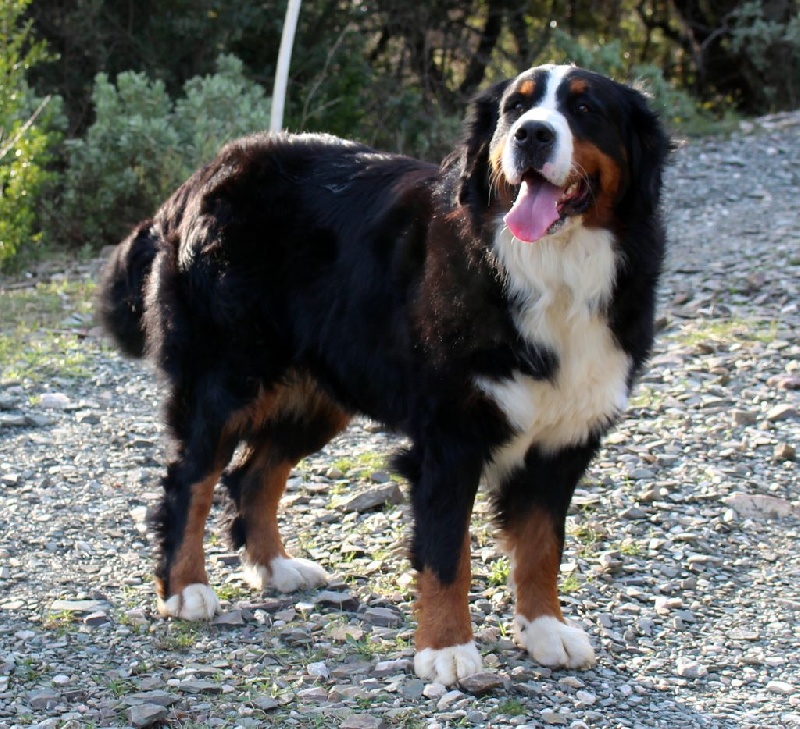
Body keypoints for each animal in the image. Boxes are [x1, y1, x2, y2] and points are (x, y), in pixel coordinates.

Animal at [101, 62, 676, 684]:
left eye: (586, 109)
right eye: (515, 109)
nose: (532, 135)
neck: (553, 271)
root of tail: (211, 169)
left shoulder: (564, 437)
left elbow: (543, 545)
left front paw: (545, 630)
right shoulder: (451, 435)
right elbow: (447, 552)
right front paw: (447, 649)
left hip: (320, 392)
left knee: (253, 475)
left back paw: (277, 568)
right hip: (226, 379)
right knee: (191, 480)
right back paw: (185, 589)